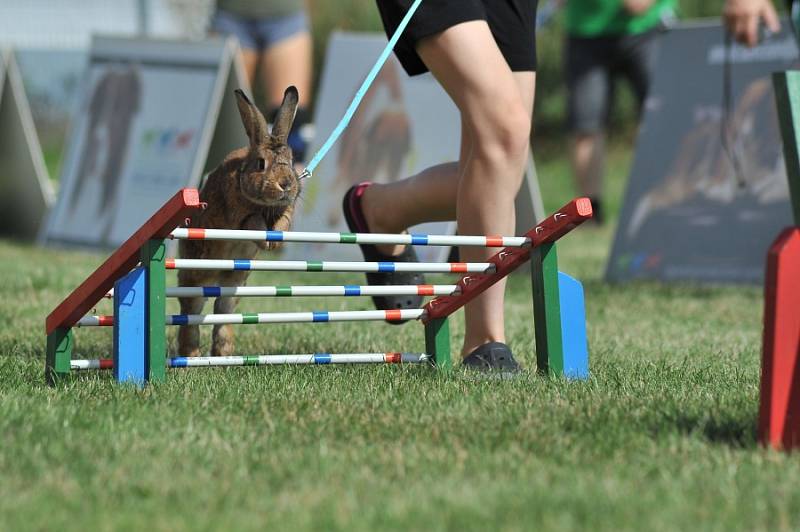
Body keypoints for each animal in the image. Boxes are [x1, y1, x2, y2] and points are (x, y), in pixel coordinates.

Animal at [177, 87, 300, 358]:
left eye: (291, 160)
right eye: (261, 164)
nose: (286, 184)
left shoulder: (286, 210)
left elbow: (283, 222)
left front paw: (275, 242)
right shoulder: (241, 216)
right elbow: (253, 222)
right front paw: (267, 242)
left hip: (235, 282)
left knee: (223, 311)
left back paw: (223, 354)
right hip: (196, 276)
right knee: (190, 312)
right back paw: (190, 355)